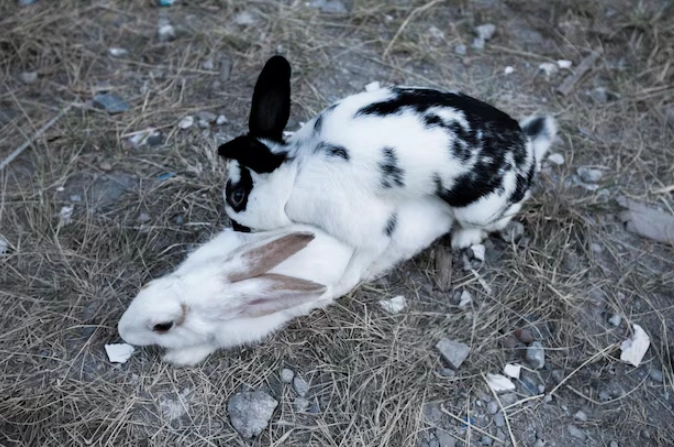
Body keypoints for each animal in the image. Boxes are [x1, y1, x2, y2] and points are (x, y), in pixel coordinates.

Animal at [217, 55, 557, 297]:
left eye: (237, 195)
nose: (236, 227)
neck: (296, 171)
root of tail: (528, 153)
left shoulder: (365, 228)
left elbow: (362, 257)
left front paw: (339, 289)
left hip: (478, 208)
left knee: (498, 219)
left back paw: (465, 238)